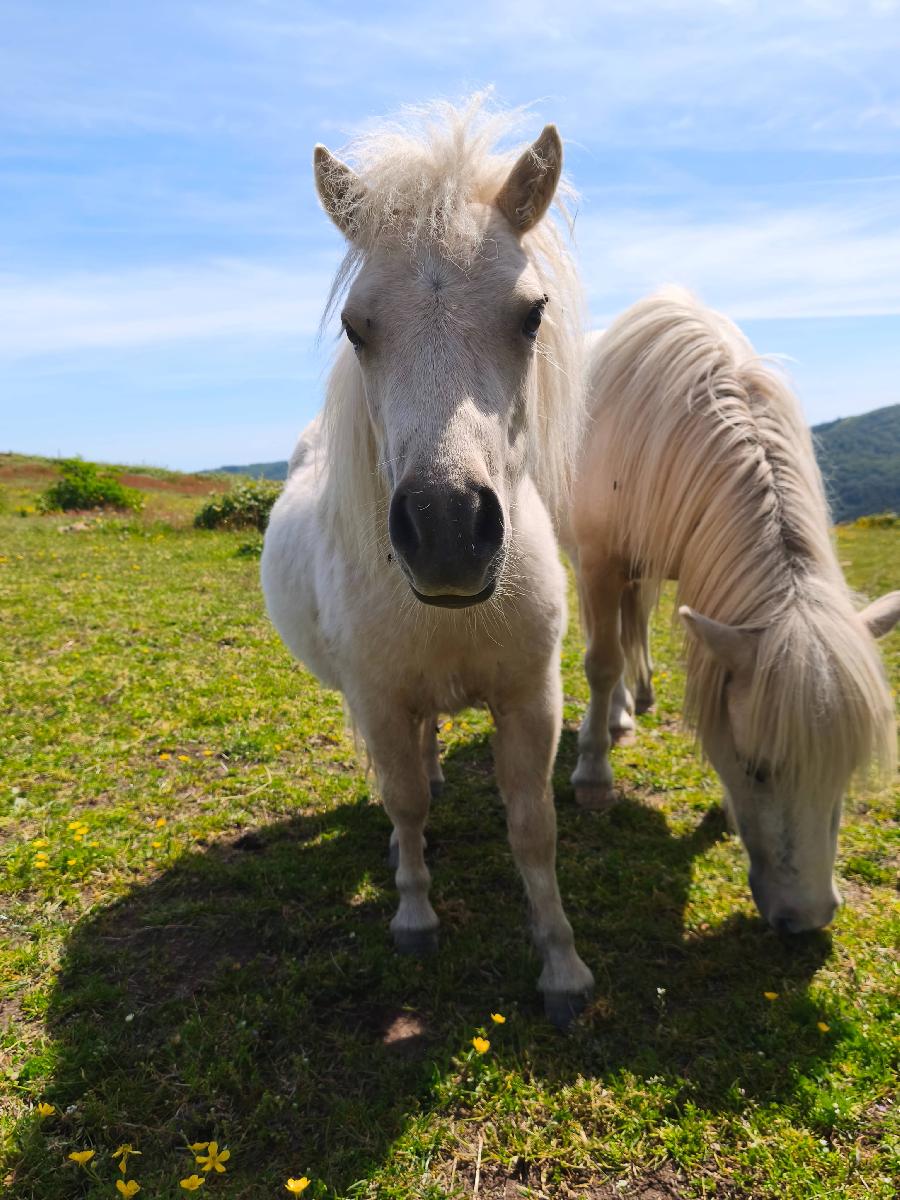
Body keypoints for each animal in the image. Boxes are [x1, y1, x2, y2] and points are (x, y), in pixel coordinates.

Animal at [261, 98, 594, 1024]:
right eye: (355, 326)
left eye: (532, 314)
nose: (447, 529)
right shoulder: (376, 697)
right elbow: (402, 799)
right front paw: (414, 915)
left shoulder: (531, 700)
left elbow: (534, 828)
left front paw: (562, 964)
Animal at [568, 288, 899, 934]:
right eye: (758, 767)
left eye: (846, 770)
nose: (808, 919)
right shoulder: (597, 559)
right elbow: (599, 661)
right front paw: (593, 774)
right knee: (608, 638)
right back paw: (614, 716)